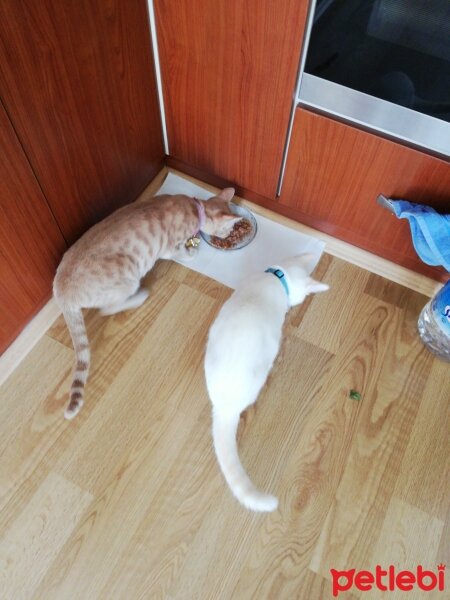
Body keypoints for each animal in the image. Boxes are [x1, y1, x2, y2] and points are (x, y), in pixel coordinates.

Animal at [52, 190, 239, 420]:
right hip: (128, 279)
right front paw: (191, 252)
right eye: (228, 228)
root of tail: (61, 291)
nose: (228, 235)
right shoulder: (169, 249)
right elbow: (181, 253)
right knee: (108, 308)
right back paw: (141, 295)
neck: (195, 208)